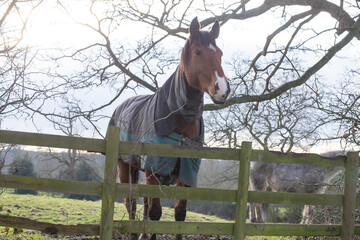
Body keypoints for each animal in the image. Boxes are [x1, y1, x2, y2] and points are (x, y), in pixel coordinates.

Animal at [107, 17, 231, 240]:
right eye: (198, 52)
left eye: (220, 53)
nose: (222, 90)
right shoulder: (154, 170)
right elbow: (155, 213)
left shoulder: (186, 173)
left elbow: (179, 213)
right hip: (126, 166)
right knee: (131, 203)